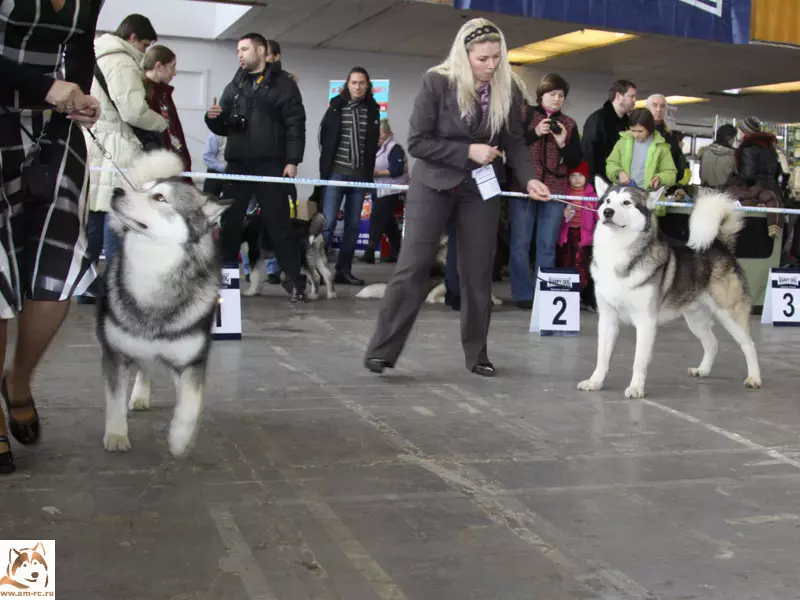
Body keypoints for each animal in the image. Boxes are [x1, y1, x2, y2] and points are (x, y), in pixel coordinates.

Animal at [96, 150, 231, 454]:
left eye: (159, 198)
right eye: (141, 189)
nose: (118, 190)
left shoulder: (192, 360)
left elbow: (191, 403)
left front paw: (180, 439)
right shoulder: (116, 353)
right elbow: (114, 400)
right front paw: (116, 434)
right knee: (144, 366)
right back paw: (139, 396)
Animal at [580, 178, 760, 398]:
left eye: (627, 203)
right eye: (607, 201)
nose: (607, 212)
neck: (617, 252)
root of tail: (721, 246)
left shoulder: (645, 322)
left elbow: (639, 361)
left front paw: (636, 388)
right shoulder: (607, 319)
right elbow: (602, 358)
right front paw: (595, 382)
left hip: (729, 314)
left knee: (749, 345)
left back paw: (754, 378)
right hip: (695, 319)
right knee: (712, 343)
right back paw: (703, 370)